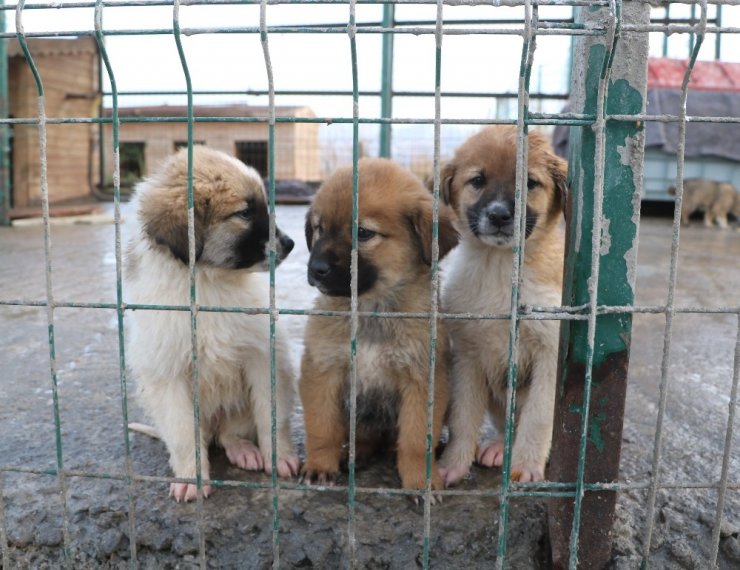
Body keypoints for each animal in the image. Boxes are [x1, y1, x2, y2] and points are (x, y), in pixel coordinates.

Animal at [125, 144, 300, 500]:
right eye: (244, 213)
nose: (290, 244)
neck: (209, 281)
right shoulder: (168, 375)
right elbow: (182, 434)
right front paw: (191, 478)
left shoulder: (263, 355)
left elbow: (271, 415)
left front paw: (280, 457)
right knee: (204, 436)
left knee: (229, 432)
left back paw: (242, 449)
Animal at [300, 158, 460, 490]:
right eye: (320, 229)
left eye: (363, 233)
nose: (315, 269)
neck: (371, 309)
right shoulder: (322, 369)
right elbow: (322, 427)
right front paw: (320, 465)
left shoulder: (422, 378)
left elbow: (415, 439)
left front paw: (420, 480)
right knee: (364, 436)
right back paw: (355, 454)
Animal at [440, 125, 568, 484]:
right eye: (478, 180)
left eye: (530, 183)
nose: (499, 215)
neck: (500, 269)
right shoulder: (467, 355)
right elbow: (462, 417)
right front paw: (453, 464)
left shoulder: (550, 355)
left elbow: (537, 418)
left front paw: (526, 465)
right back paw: (498, 446)